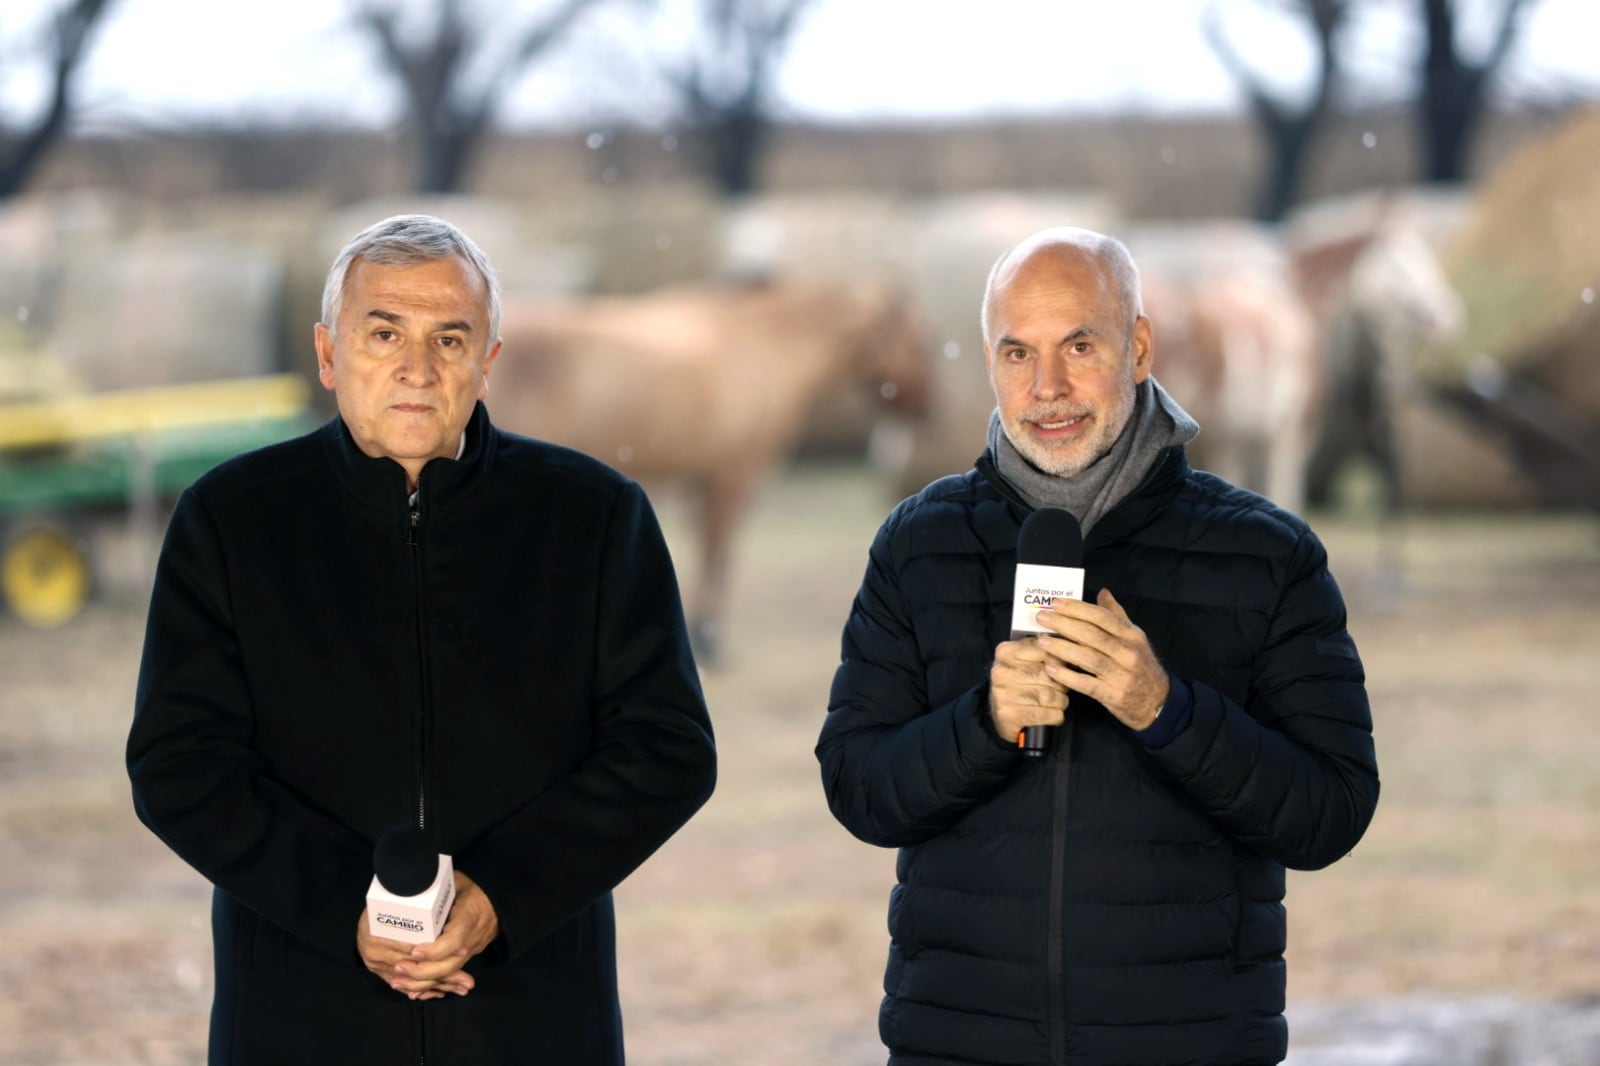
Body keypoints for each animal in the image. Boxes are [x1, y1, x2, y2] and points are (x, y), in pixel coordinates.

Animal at [492, 278, 934, 659]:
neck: (764, 341)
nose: (928, 409)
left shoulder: (702, 480)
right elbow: (718, 553)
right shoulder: (734, 475)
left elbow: (704, 548)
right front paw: (710, 639)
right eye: (917, 341)